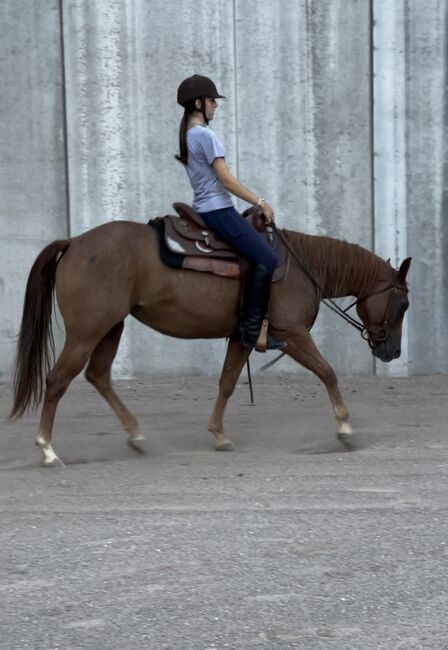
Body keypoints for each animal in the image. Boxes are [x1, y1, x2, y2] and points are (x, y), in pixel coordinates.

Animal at [8, 215, 412, 464]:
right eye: (404, 303)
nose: (392, 351)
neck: (303, 267)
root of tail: (74, 242)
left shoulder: (243, 336)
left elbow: (228, 382)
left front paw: (219, 435)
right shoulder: (293, 334)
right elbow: (328, 372)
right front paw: (345, 428)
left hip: (111, 327)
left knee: (98, 375)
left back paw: (136, 435)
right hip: (87, 331)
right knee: (58, 379)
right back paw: (47, 449)